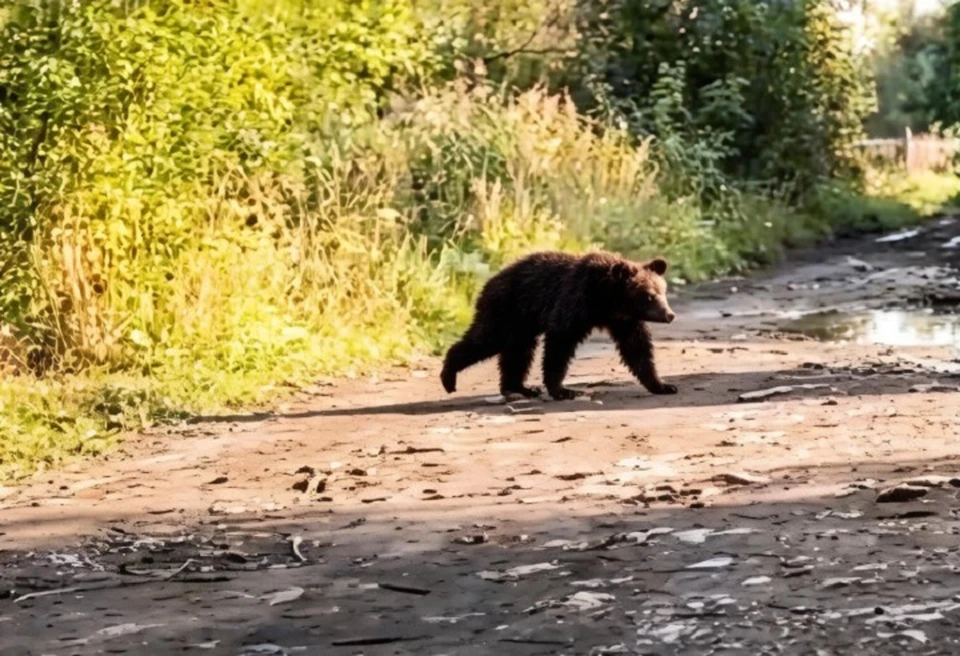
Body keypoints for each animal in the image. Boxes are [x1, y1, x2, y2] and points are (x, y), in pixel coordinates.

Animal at [440, 251, 677, 401]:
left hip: (521, 324)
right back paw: (449, 377)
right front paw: (563, 390)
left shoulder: (624, 322)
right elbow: (560, 343)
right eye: (649, 296)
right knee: (486, 339)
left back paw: (521, 387)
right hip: (507, 309)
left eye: (663, 292)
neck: (606, 301)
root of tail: (488, 282)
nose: (670, 315)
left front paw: (663, 385)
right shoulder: (574, 302)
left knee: (518, 353)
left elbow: (637, 350)